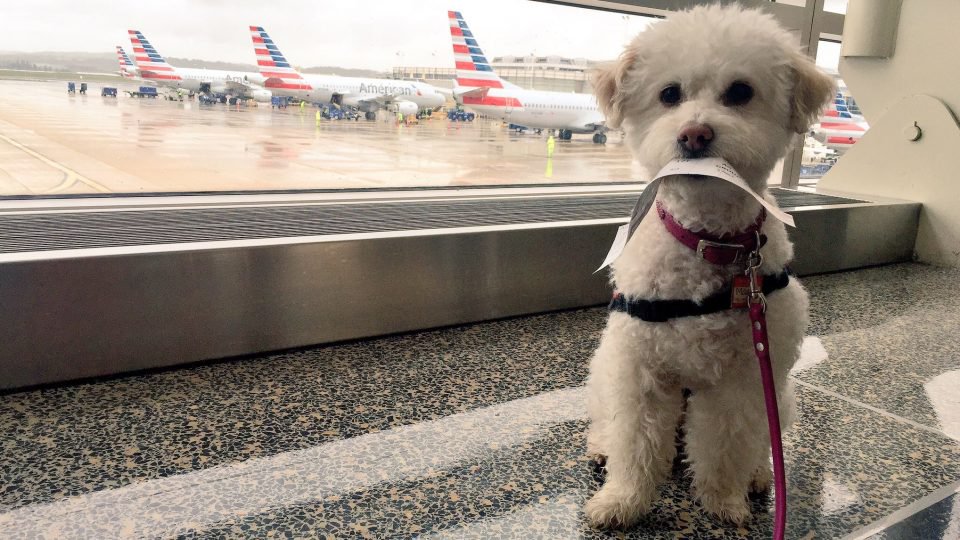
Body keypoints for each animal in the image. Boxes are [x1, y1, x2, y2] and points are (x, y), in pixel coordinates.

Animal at [580, 3, 836, 528]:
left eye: (740, 92)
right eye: (668, 94)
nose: (694, 133)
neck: (709, 244)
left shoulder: (743, 379)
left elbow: (724, 443)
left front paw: (723, 501)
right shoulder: (639, 371)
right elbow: (635, 440)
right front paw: (622, 501)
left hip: (780, 394)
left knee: (760, 442)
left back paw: (759, 475)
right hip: (603, 370)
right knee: (607, 420)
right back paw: (600, 446)